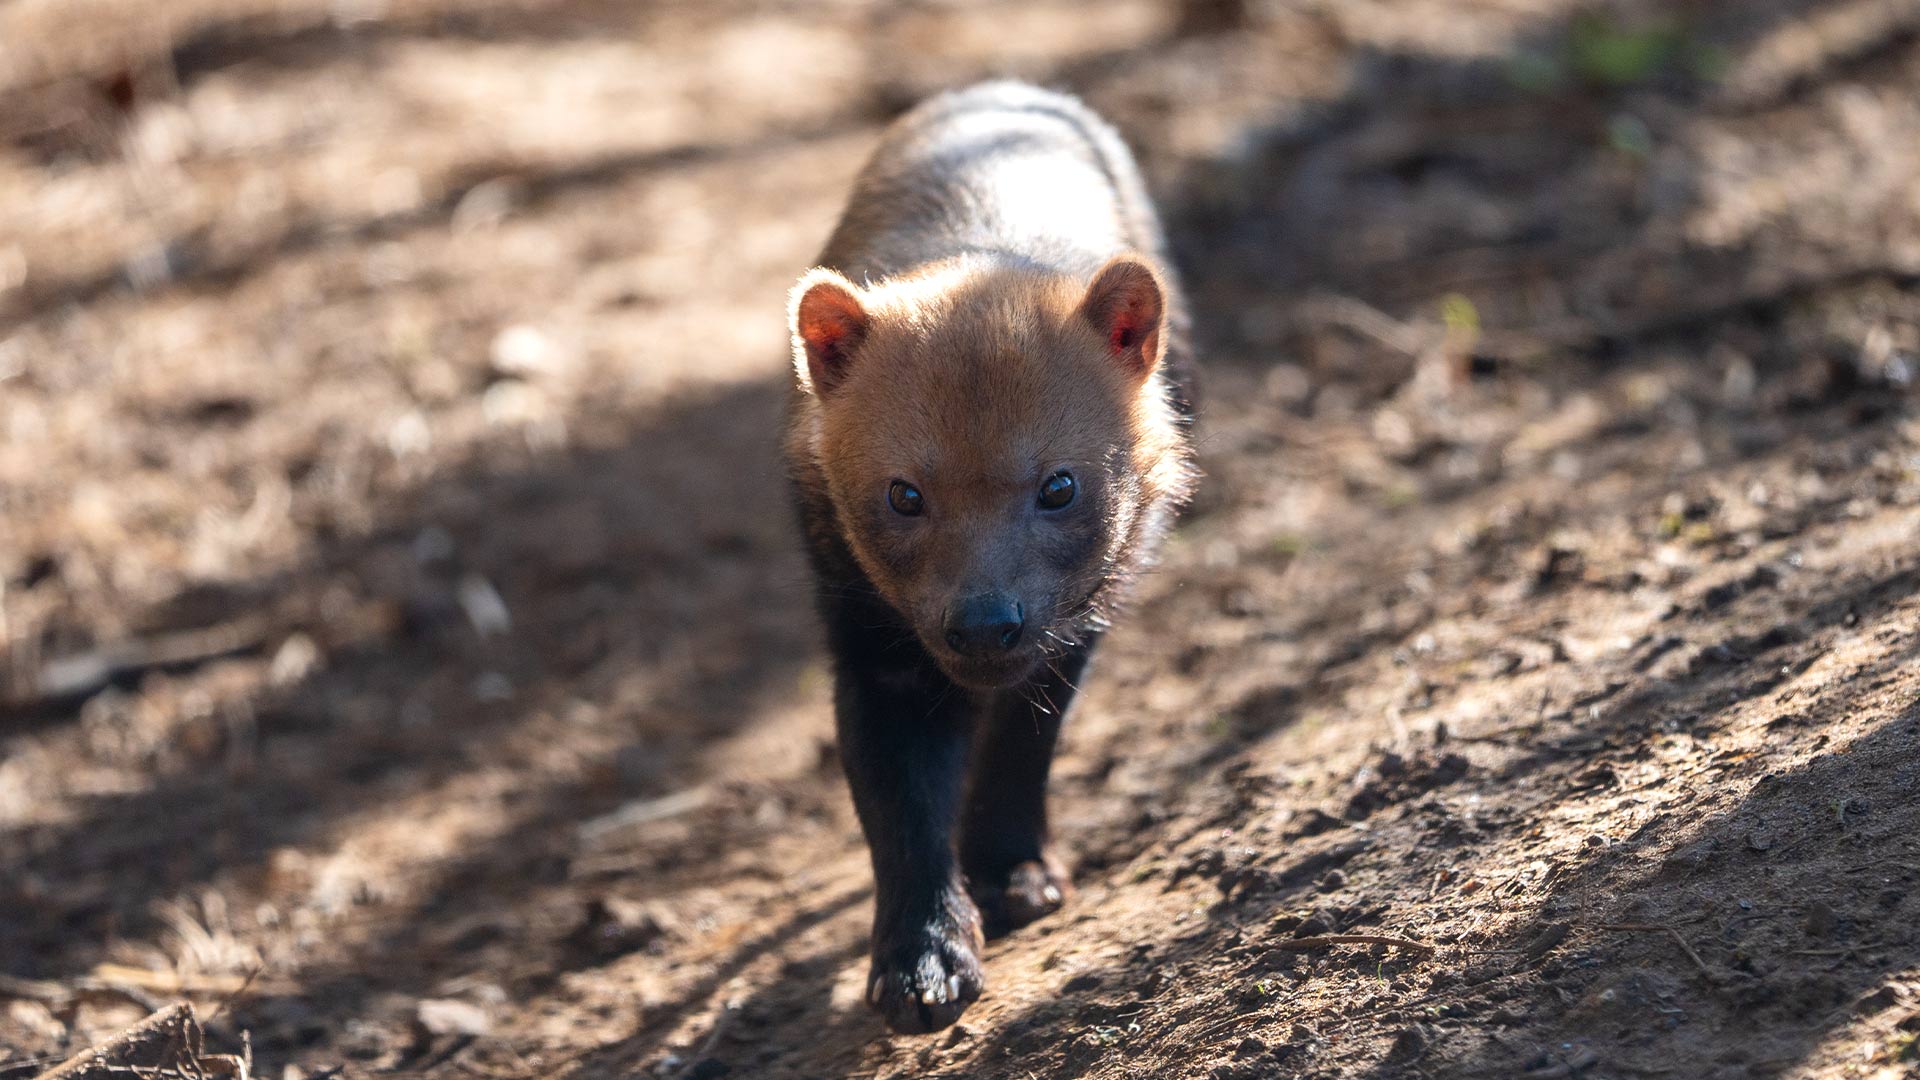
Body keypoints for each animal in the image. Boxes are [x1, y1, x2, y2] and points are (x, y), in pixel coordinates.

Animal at [787, 79, 1190, 1030]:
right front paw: (922, 963)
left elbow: (1022, 740)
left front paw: (1014, 876)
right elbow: (897, 803)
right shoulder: (875, 650)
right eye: (904, 493)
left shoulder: (1072, 626)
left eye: (1060, 486)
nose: (979, 625)